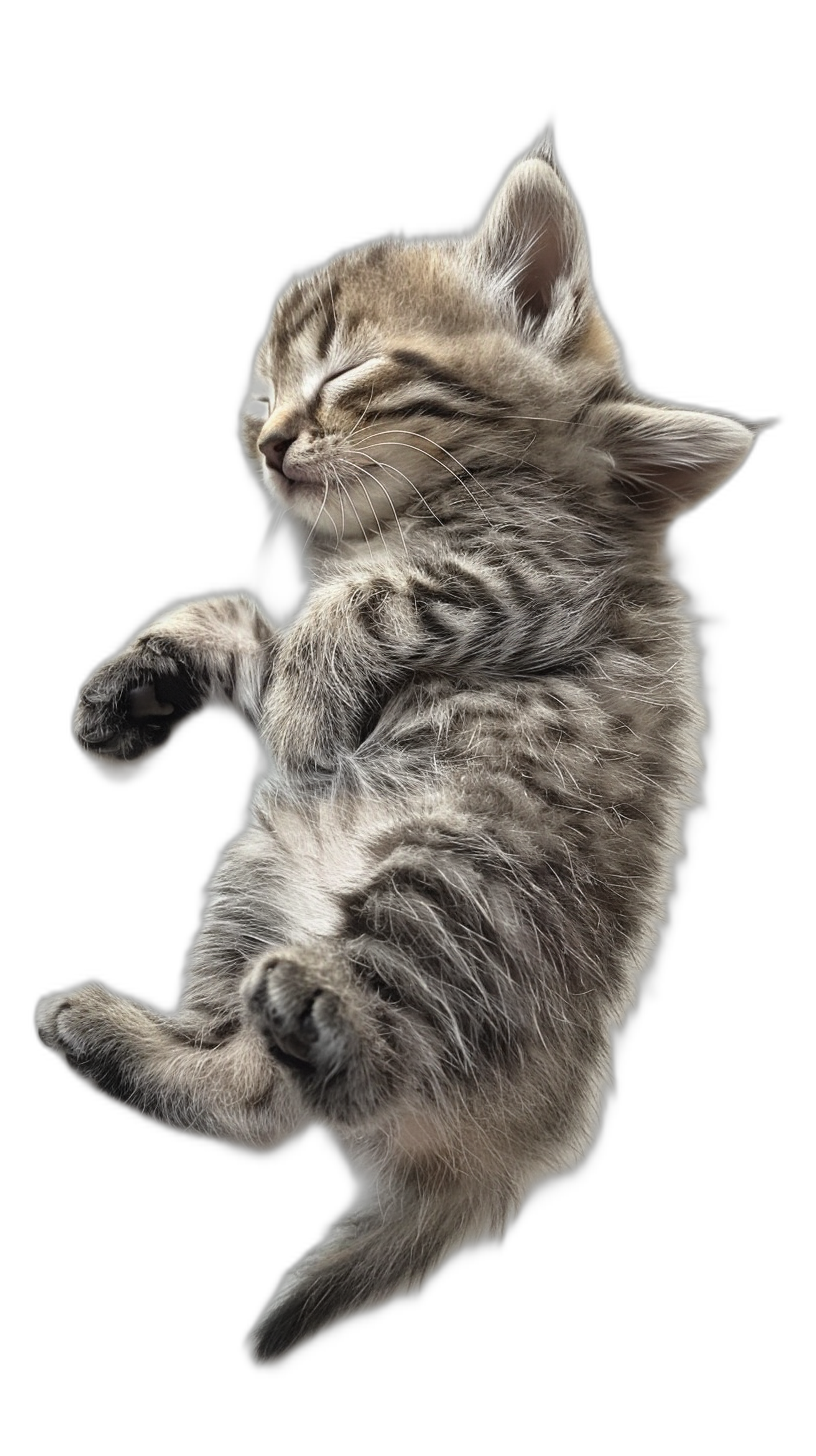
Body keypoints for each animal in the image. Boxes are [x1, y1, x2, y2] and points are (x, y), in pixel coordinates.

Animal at [33, 133, 757, 1362]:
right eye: (259, 396)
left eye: (341, 376)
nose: (269, 443)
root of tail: (524, 1139)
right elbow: (237, 619)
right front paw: (128, 694)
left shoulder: (527, 573)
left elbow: (363, 608)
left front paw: (303, 707)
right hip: (259, 873)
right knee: (248, 1083)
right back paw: (125, 1033)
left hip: (448, 874)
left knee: (315, 1082)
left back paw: (312, 1014)